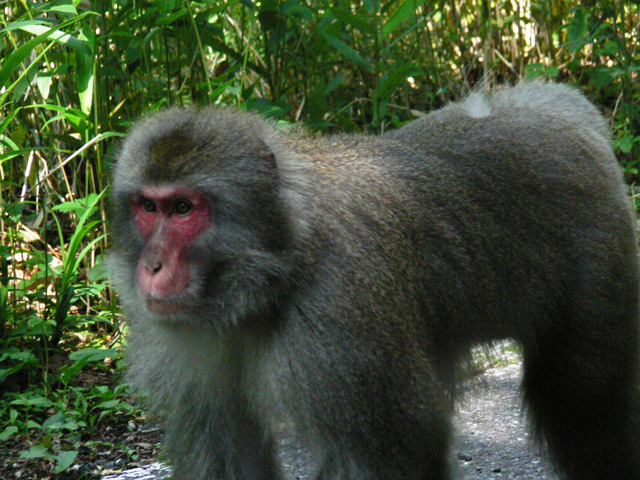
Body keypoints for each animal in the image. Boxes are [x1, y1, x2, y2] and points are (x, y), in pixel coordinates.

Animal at [109, 82, 640, 480]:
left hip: (602, 252)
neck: (271, 278)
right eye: (147, 206)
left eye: (183, 208)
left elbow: (390, 451)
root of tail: (554, 107)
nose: (151, 266)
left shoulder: (341, 325)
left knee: (579, 400)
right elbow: (223, 448)